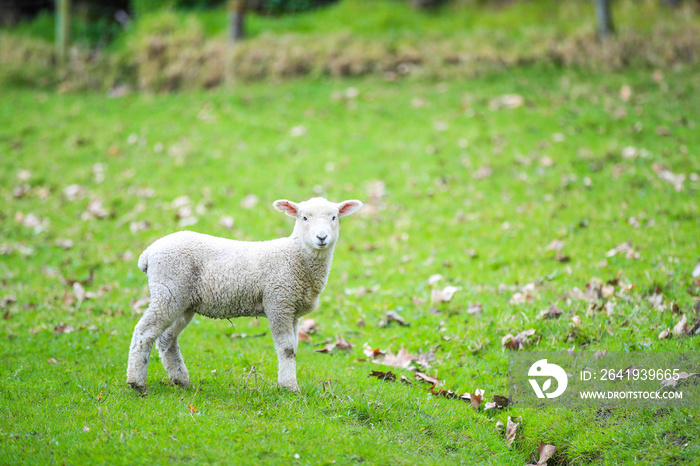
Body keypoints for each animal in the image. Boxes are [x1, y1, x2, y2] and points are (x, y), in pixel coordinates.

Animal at [126, 197, 364, 394]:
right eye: (304, 217)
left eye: (334, 217)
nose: (321, 237)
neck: (295, 256)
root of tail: (148, 253)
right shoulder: (278, 302)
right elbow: (286, 348)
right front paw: (289, 387)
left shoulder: (293, 310)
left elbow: (294, 348)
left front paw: (288, 383)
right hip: (169, 290)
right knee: (144, 332)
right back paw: (136, 382)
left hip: (183, 302)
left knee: (167, 338)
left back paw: (181, 380)